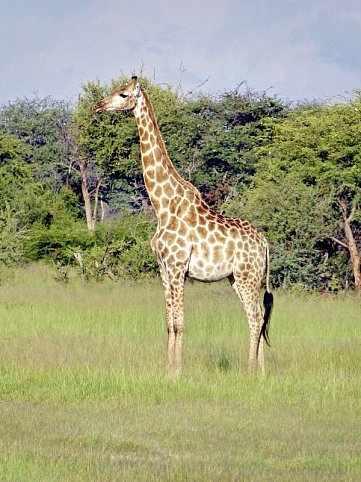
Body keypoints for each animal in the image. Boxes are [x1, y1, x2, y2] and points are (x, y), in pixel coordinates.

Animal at [93, 76, 272, 376]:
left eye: (123, 94)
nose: (97, 106)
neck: (163, 205)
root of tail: (266, 243)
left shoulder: (178, 267)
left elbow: (179, 323)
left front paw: (177, 373)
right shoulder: (164, 269)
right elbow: (168, 323)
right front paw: (167, 371)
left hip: (248, 275)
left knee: (257, 319)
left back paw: (250, 372)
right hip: (238, 278)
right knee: (256, 317)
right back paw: (260, 373)